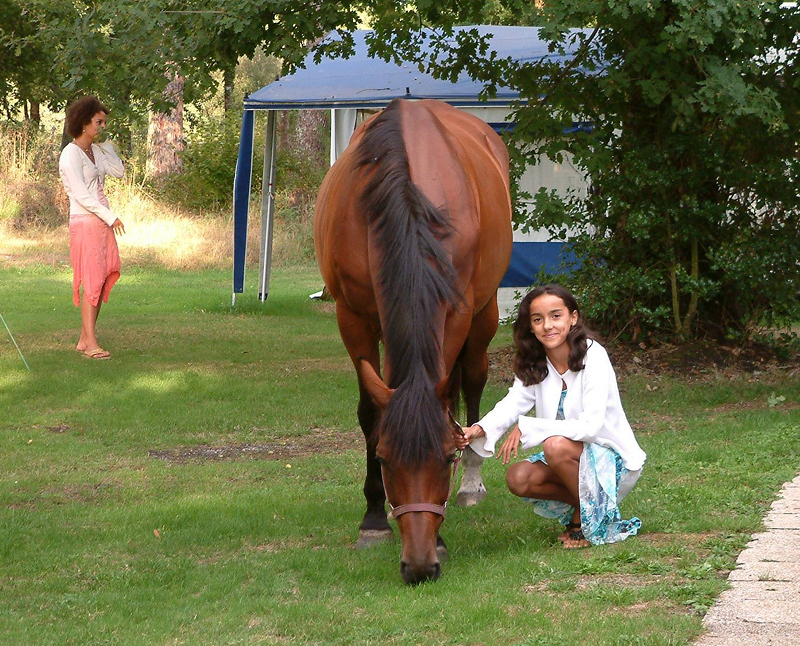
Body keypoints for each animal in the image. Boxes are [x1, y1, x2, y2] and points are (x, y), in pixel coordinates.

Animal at [314, 98, 512, 584]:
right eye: (385, 460)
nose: (420, 566)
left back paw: (473, 484)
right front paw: (372, 518)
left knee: (473, 379)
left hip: (484, 314)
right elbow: (370, 411)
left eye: (446, 459)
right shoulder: (353, 316)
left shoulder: (456, 312)